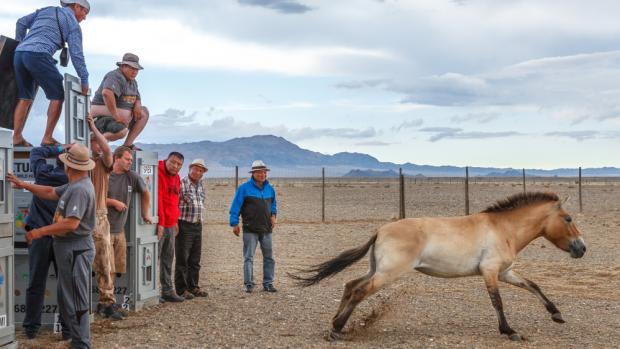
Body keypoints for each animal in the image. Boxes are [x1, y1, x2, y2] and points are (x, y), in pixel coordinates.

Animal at [290, 190, 588, 340]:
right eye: (569, 218)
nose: (582, 248)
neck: (503, 228)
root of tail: (380, 230)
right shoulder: (490, 272)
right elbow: (498, 302)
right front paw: (510, 331)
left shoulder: (505, 272)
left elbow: (533, 286)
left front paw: (556, 314)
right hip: (388, 273)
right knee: (359, 291)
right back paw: (337, 330)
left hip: (377, 269)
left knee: (350, 285)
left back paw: (335, 323)